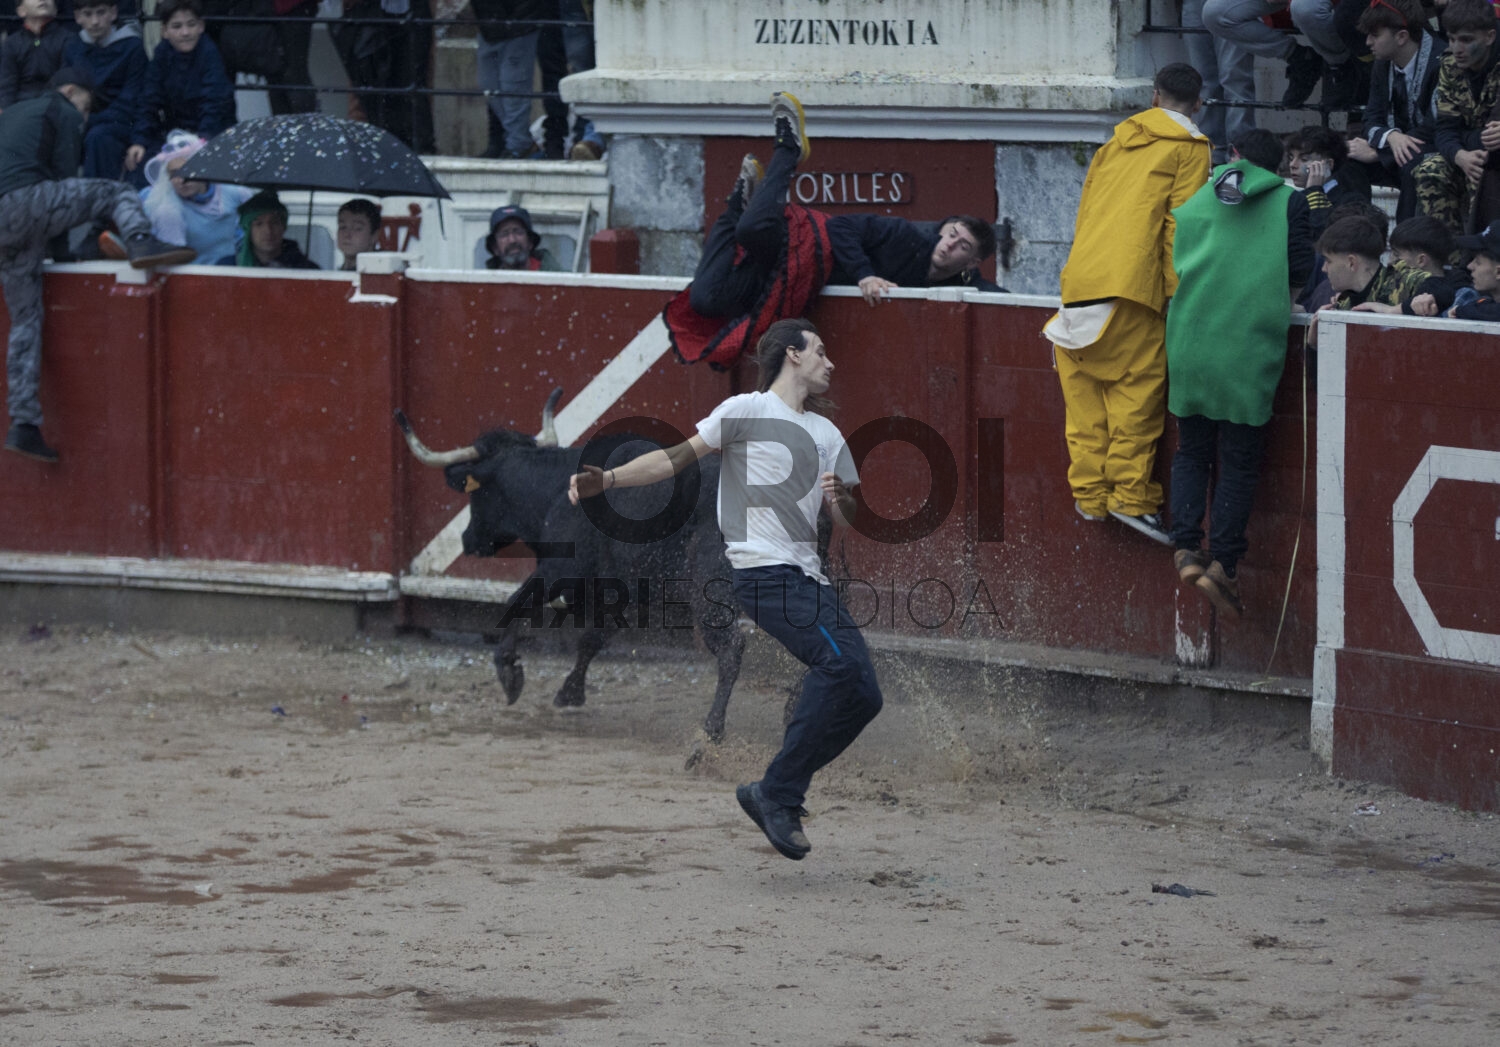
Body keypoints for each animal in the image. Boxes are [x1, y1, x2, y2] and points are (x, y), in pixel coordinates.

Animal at [395, 390, 751, 746]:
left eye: (477, 494)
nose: (467, 540)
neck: (554, 490)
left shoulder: (558, 572)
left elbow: (515, 603)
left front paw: (509, 672)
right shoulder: (622, 590)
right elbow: (592, 638)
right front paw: (570, 692)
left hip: (709, 594)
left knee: (731, 649)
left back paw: (712, 728)